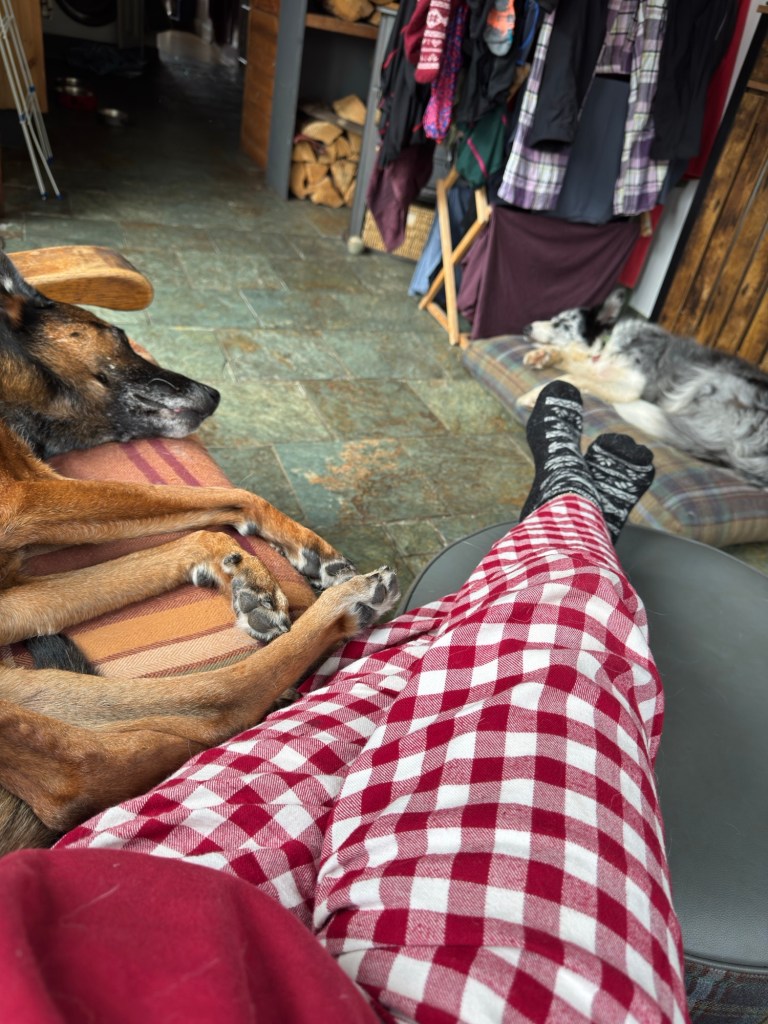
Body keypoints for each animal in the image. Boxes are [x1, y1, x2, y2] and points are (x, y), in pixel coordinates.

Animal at [0, 251, 399, 856]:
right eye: (119, 335)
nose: (214, 394)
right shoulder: (27, 498)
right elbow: (216, 495)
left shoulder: (16, 585)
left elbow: (194, 528)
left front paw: (251, 569)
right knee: (120, 753)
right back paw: (346, 608)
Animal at [520, 287, 768, 487]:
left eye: (561, 324)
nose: (526, 328)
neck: (605, 345)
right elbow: (568, 361)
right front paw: (543, 356)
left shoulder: (630, 385)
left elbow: (575, 376)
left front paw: (533, 394)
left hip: (708, 380)